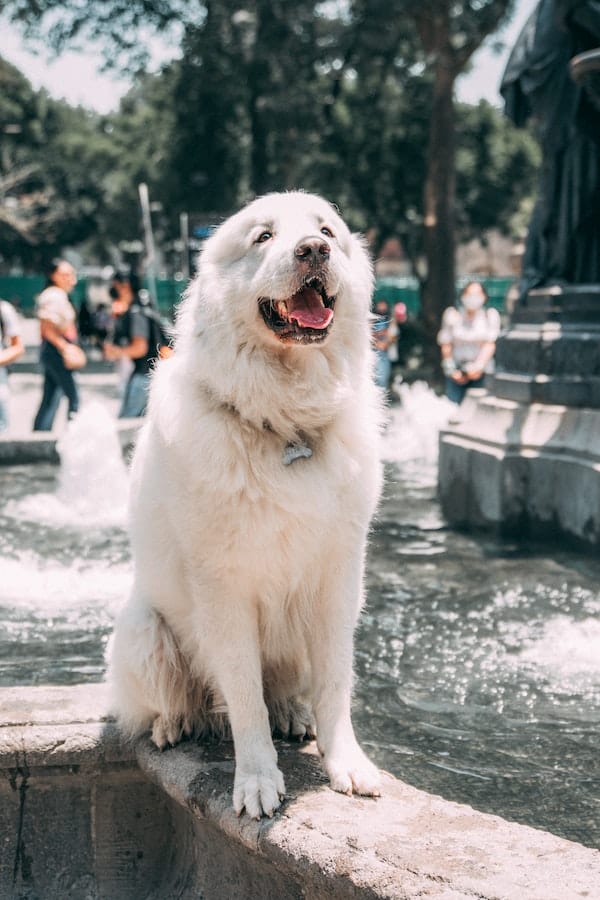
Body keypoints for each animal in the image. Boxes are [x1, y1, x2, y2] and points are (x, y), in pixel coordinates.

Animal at [109, 193, 382, 820]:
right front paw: (257, 781)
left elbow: (336, 683)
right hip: (142, 632)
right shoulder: (224, 589)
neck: (284, 426)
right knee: (181, 701)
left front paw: (346, 764)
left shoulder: (338, 583)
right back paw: (172, 725)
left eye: (327, 230)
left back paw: (293, 715)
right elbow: (243, 695)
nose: (314, 250)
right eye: (263, 237)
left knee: (286, 691)